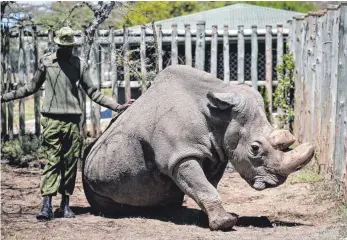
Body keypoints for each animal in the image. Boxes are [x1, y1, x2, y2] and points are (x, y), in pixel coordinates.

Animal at [83, 65, 316, 231]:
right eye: (255, 149)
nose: (275, 182)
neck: (219, 116)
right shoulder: (179, 156)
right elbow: (203, 186)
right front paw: (225, 224)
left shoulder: (217, 154)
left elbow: (206, 186)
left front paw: (220, 217)